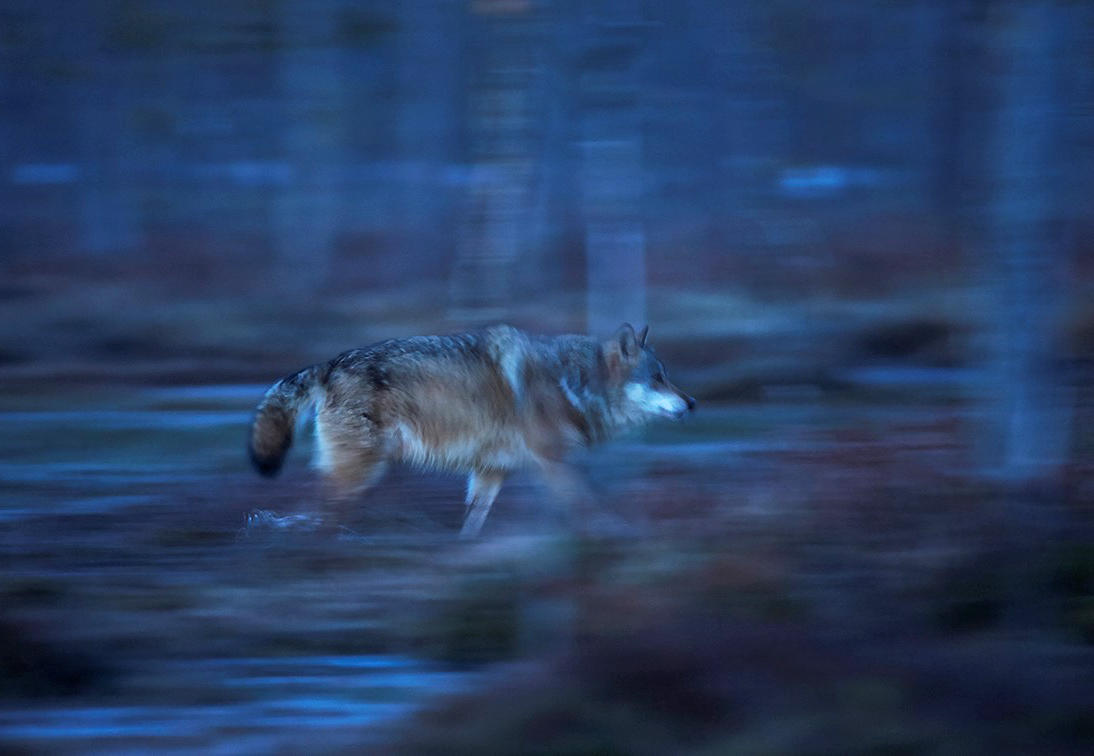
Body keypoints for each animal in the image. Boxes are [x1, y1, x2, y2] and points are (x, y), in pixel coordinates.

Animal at [248, 326, 691, 538]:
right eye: (658, 378)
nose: (692, 404)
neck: (575, 382)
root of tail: (327, 365)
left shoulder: (490, 472)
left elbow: (472, 522)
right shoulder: (554, 463)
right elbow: (590, 507)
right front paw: (616, 535)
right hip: (360, 473)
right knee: (320, 515)